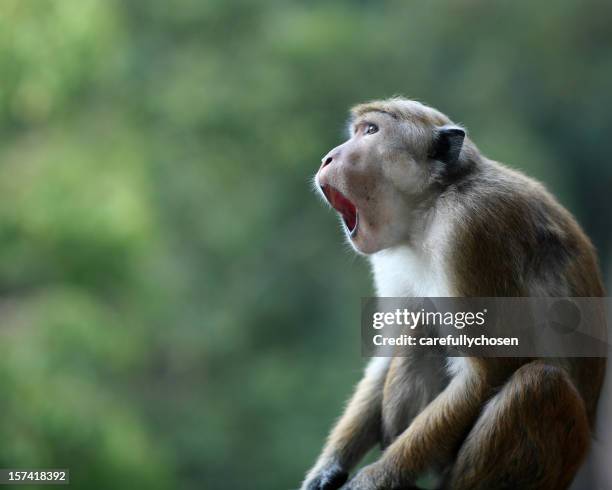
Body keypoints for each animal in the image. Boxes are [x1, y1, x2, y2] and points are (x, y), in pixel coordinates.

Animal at [298, 98, 604, 490]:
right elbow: (386, 351)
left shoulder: (470, 229)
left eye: (370, 131)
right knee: (419, 326)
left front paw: (376, 477)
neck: (427, 211)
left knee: (540, 384)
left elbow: (486, 371)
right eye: (357, 131)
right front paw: (327, 469)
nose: (328, 158)